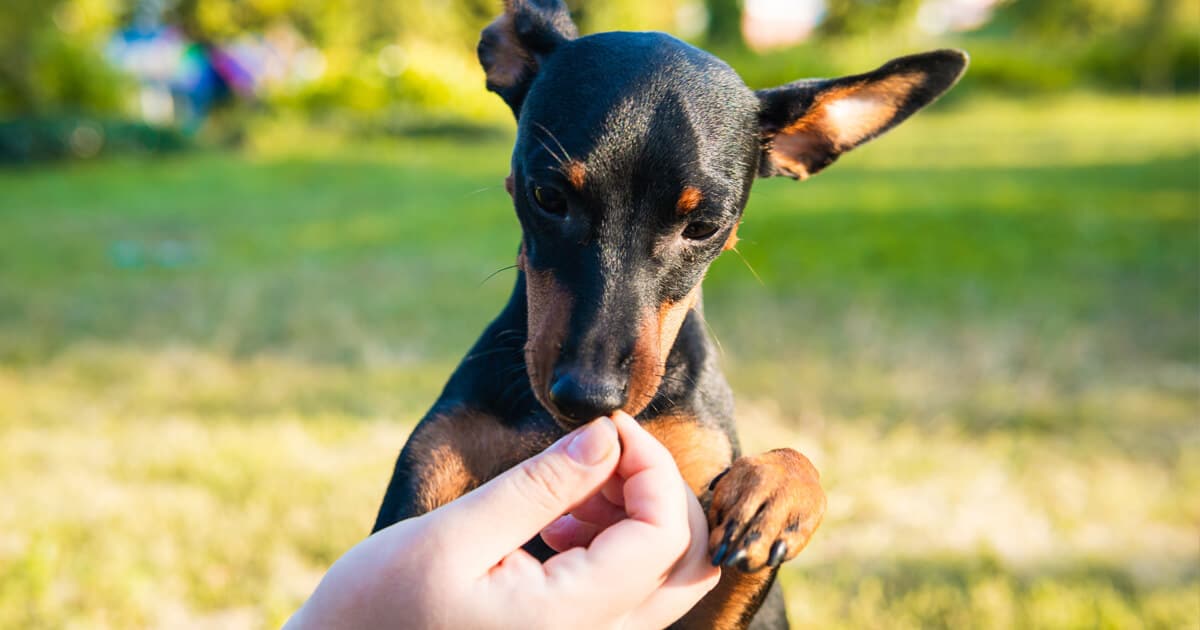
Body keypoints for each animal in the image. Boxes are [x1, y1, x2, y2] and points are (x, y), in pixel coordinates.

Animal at [374, 2, 964, 624]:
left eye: (703, 227)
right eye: (547, 197)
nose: (588, 398)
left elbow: (781, 480)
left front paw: (776, 490)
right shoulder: (422, 500)